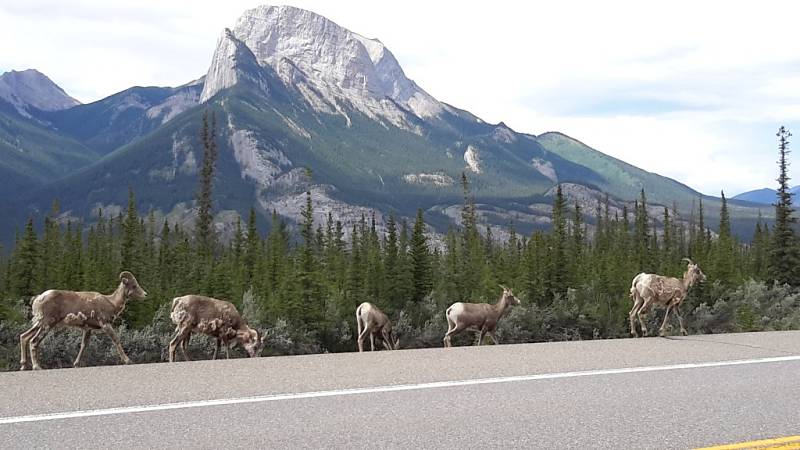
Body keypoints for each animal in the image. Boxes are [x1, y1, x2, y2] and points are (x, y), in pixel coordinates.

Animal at [18, 270, 147, 370]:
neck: (111, 302)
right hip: (47, 324)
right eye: (134, 285)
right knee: (33, 341)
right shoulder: (105, 324)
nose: (145, 294)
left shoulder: (87, 329)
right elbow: (116, 340)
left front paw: (76, 364)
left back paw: (23, 366)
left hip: (39, 323)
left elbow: (83, 346)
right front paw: (128, 361)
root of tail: (37, 299)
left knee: (24, 336)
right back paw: (37, 367)